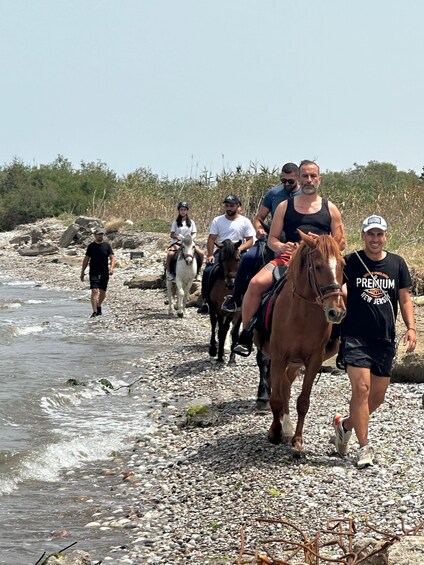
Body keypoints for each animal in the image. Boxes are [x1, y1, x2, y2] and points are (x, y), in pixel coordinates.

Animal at [260, 231, 346, 456]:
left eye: (343, 264)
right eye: (317, 266)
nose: (336, 312)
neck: (302, 314)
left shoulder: (314, 359)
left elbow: (303, 401)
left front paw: (297, 441)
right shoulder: (279, 357)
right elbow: (276, 398)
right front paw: (274, 433)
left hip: (295, 363)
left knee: (286, 386)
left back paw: (288, 428)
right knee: (278, 387)